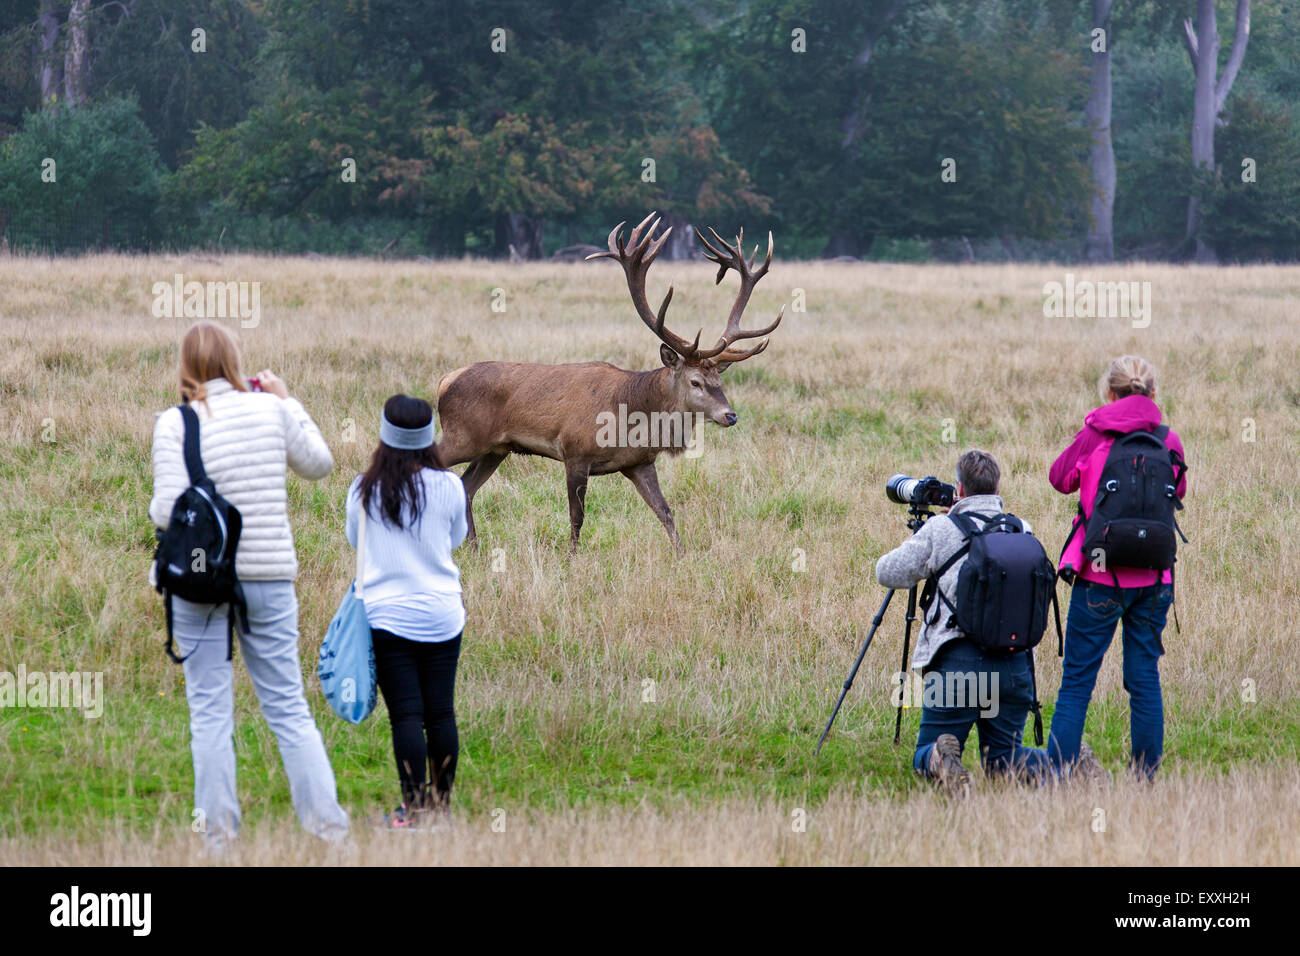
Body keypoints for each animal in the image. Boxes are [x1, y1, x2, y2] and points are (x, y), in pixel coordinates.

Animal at [434, 212, 784, 554]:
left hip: (496, 448)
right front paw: (572, 559)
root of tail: (444, 380)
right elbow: (577, 517)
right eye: (696, 381)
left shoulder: (640, 463)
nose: (730, 415)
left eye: (719, 379)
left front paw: (682, 555)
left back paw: (474, 547)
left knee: (466, 485)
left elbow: (666, 512)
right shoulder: (575, 451)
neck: (631, 418)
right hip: (463, 435)